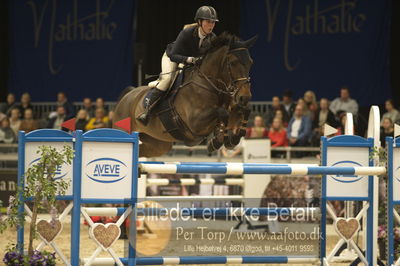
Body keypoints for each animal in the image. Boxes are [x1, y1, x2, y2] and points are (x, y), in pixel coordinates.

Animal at [113, 33, 256, 158]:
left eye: (250, 62)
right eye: (232, 63)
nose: (245, 97)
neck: (209, 83)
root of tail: (127, 96)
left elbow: (245, 110)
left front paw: (230, 139)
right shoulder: (195, 123)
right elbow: (222, 113)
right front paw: (217, 142)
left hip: (158, 144)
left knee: (142, 151)